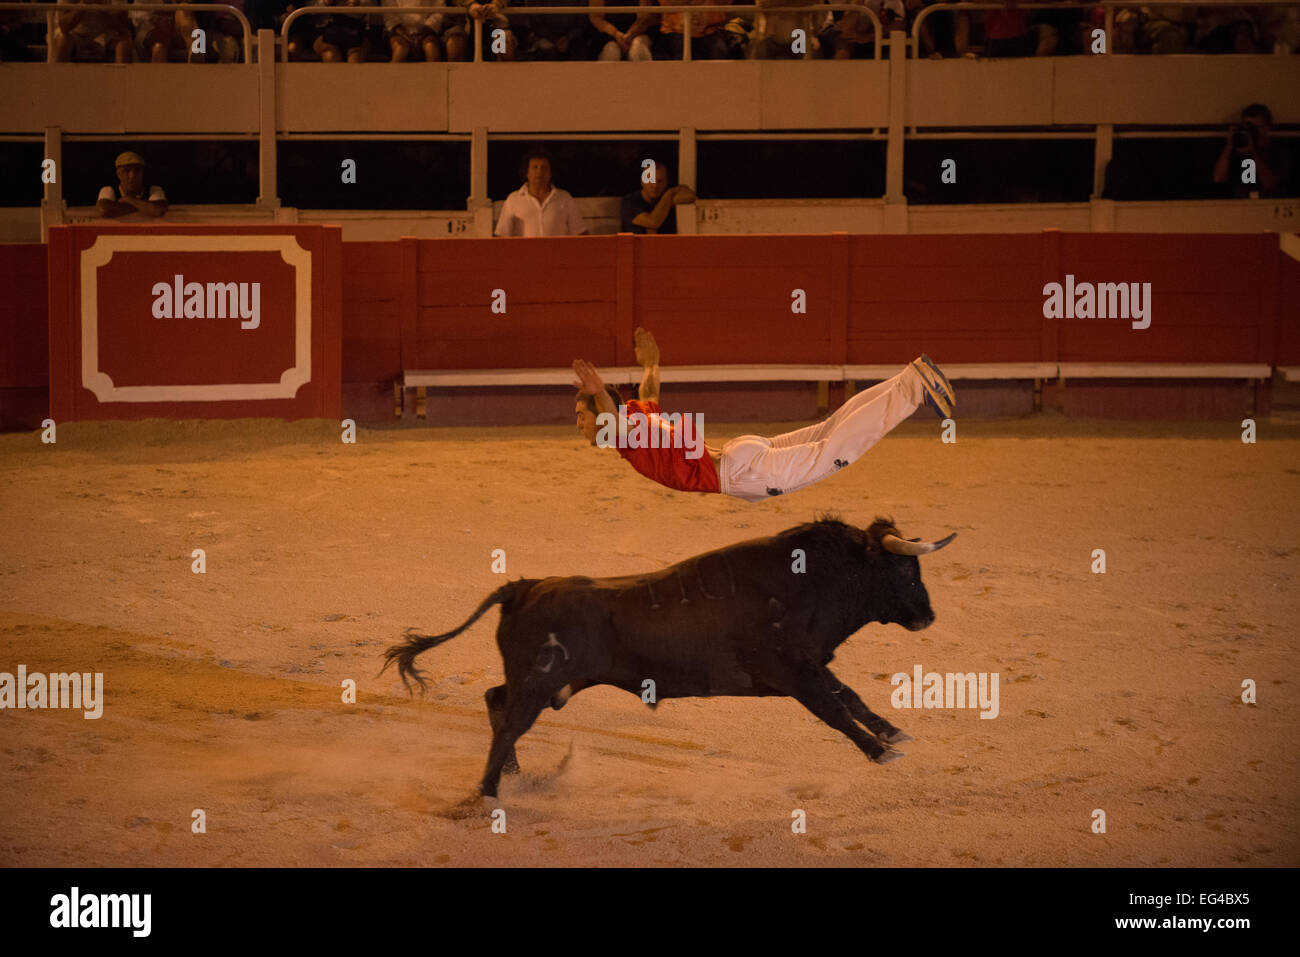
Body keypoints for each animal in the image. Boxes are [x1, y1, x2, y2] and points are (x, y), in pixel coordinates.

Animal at [379, 520, 956, 795]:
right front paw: (881, 751)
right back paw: (490, 792)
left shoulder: (811, 666)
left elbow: (850, 695)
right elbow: (835, 709)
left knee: (497, 703)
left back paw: (513, 777)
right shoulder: (793, 673)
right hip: (539, 684)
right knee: (508, 722)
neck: (811, 580)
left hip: (535, 684)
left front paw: (893, 733)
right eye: (905, 571)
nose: (928, 616)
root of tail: (524, 586)